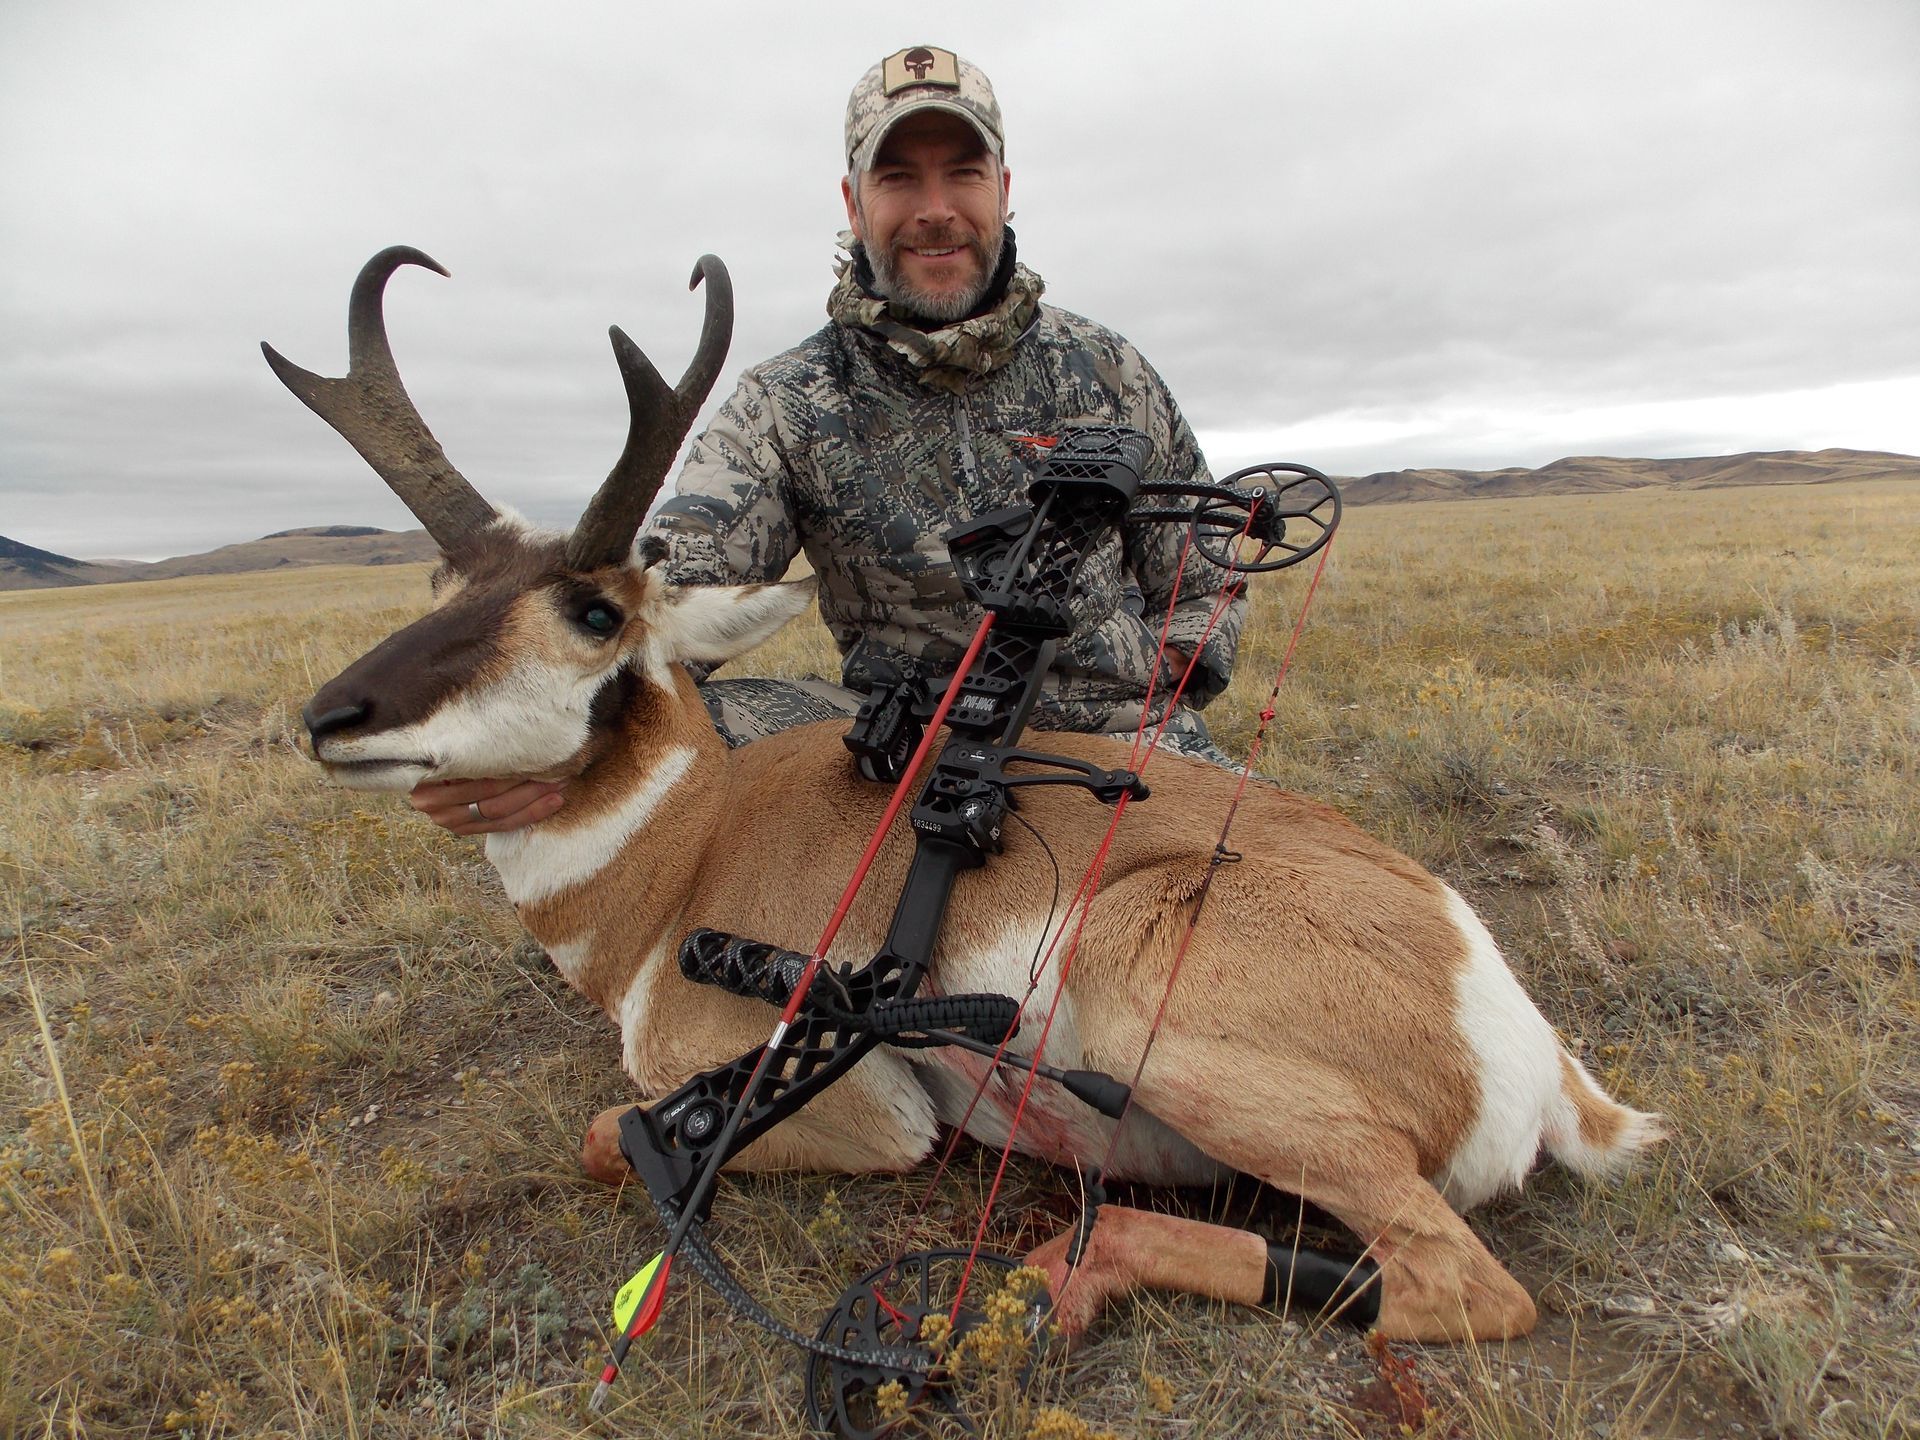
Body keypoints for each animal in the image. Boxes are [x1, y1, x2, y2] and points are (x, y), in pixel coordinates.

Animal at [273, 246, 1661, 1346]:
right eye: (441, 584)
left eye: (594, 612)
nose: (331, 717)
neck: (685, 849)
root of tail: (1529, 1044)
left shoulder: (841, 1106)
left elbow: (608, 1135)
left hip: (1160, 1005)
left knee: (1460, 1286)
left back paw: (1061, 1278)